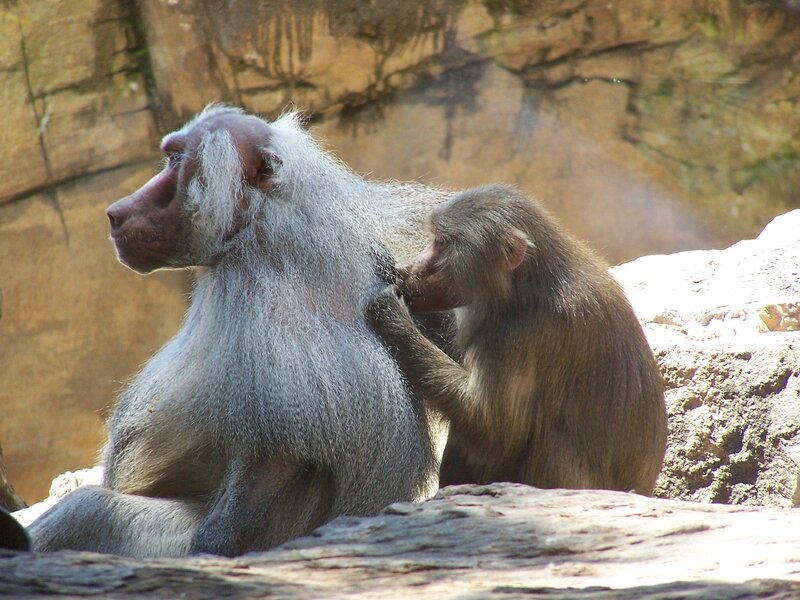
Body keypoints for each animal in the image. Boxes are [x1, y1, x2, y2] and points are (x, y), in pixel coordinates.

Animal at [28, 105, 453, 558]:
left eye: (175, 159)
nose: (115, 212)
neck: (261, 223)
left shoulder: (263, 295)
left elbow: (282, 448)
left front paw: (211, 547)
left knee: (88, 513)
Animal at [366, 184, 668, 495]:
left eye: (442, 242)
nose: (405, 270)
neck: (523, 284)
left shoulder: (517, 335)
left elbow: (495, 429)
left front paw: (394, 316)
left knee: (547, 445)